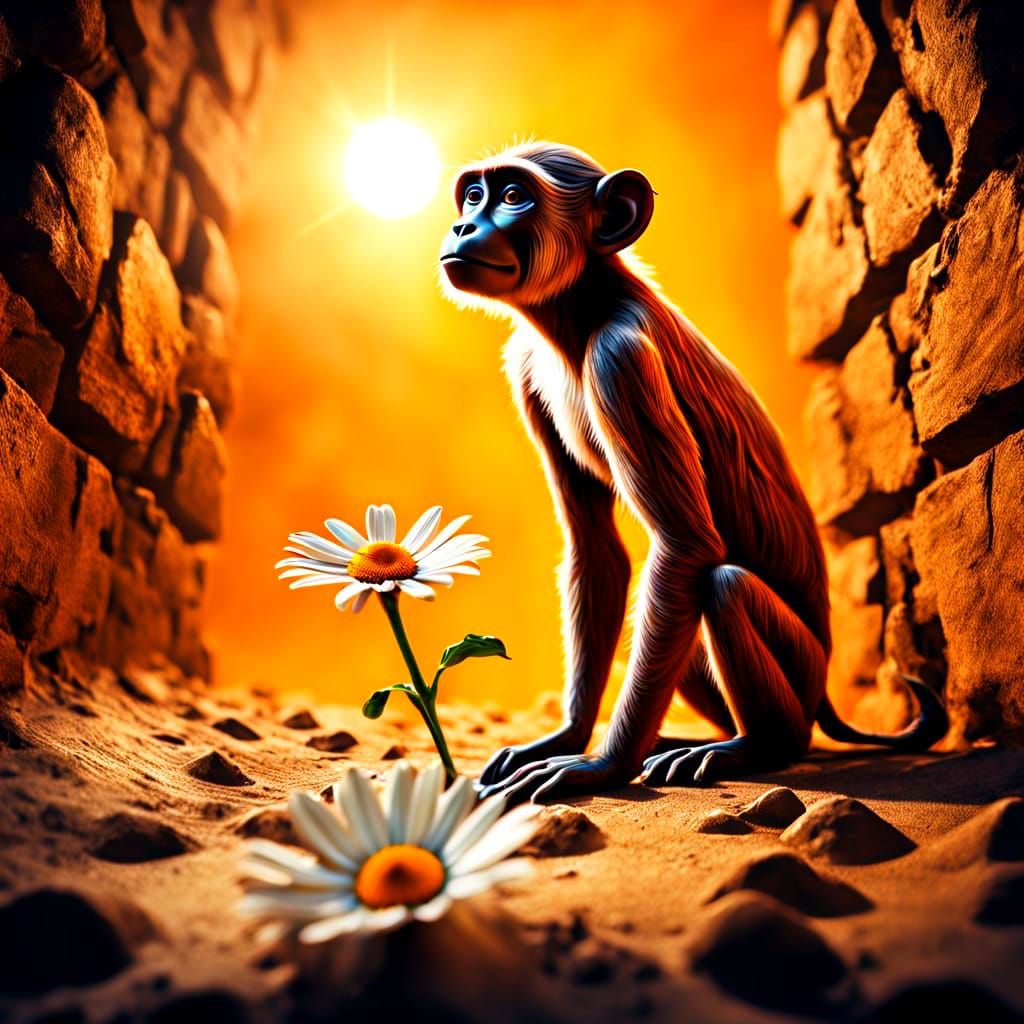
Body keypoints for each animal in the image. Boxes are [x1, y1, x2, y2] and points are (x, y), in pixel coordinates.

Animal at [438, 143, 948, 804]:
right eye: (473, 196)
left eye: (512, 197)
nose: (463, 226)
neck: (582, 311)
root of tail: (823, 698)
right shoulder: (525, 367)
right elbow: (597, 548)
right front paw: (570, 736)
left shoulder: (620, 360)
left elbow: (686, 546)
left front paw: (602, 765)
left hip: (802, 668)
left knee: (724, 587)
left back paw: (757, 745)